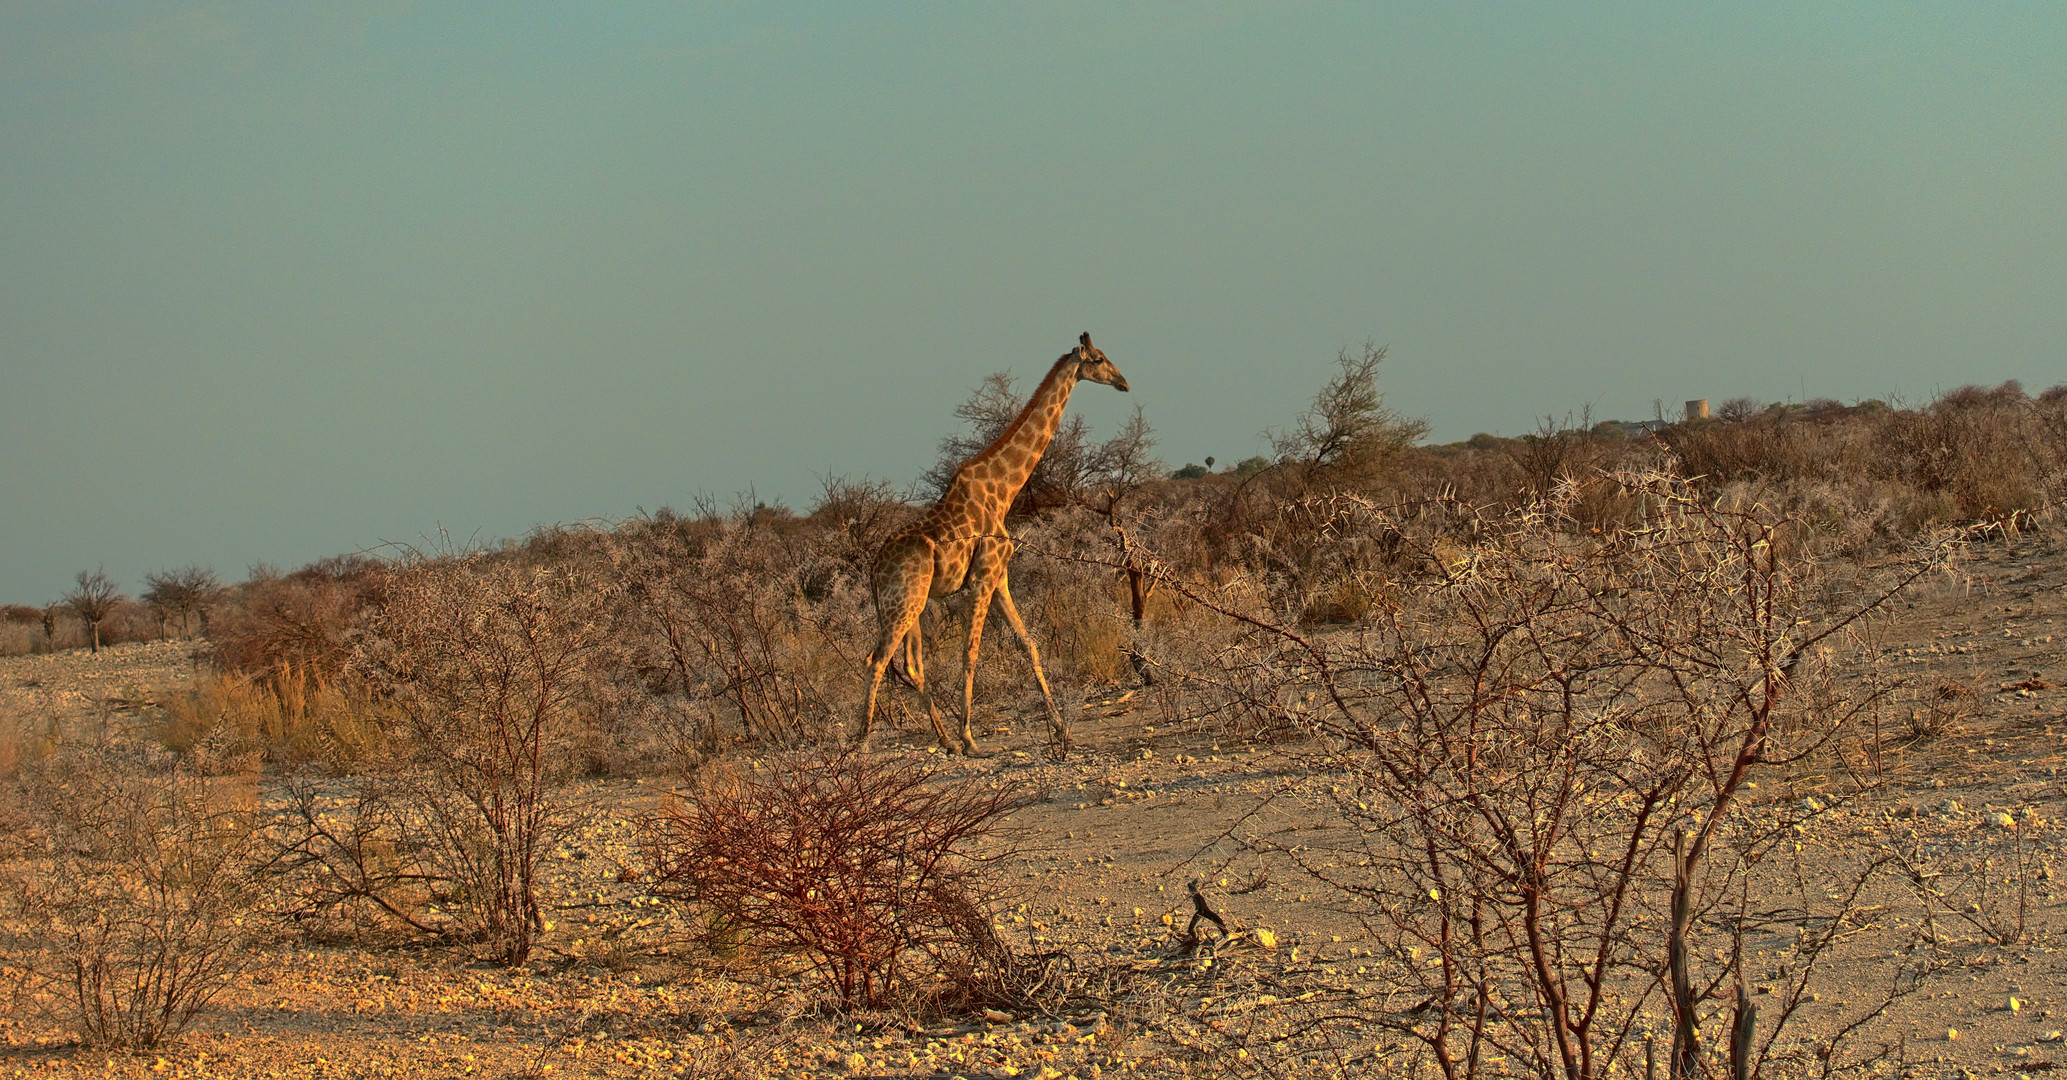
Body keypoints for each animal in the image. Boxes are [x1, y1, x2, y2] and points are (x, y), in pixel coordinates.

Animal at [864, 331, 1140, 753]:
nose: (1124, 382)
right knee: (877, 660)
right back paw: (862, 744)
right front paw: (970, 738)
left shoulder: (1000, 577)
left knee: (910, 663)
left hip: (912, 603)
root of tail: (875, 567)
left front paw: (1061, 727)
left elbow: (1028, 643)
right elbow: (971, 652)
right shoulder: (983, 575)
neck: (1004, 490)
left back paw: (943, 740)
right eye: (1098, 359)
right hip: (903, 603)